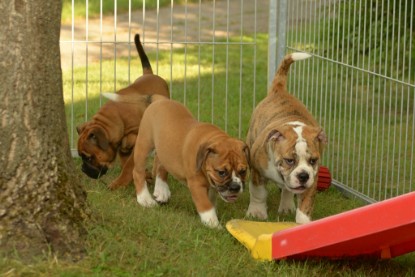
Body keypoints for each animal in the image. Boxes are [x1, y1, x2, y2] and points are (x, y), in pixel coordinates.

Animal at [77, 34, 170, 185]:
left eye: (89, 158)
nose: (83, 169)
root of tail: (149, 74)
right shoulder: (123, 149)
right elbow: (126, 163)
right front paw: (142, 176)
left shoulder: (137, 143)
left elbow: (129, 165)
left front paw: (118, 183)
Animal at [105, 94, 250, 227]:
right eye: (221, 172)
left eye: (243, 171)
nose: (235, 187)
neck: (213, 138)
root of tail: (160, 99)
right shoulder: (196, 184)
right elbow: (205, 204)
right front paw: (213, 223)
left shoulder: (212, 185)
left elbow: (212, 198)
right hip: (144, 145)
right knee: (137, 172)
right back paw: (144, 199)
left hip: (164, 148)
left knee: (161, 166)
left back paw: (161, 190)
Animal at [247, 52, 328, 223]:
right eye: (289, 160)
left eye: (313, 160)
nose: (303, 175)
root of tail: (279, 90)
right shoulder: (257, 171)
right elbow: (258, 193)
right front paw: (257, 213)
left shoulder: (312, 180)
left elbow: (305, 205)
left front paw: (303, 223)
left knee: (288, 190)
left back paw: (286, 206)